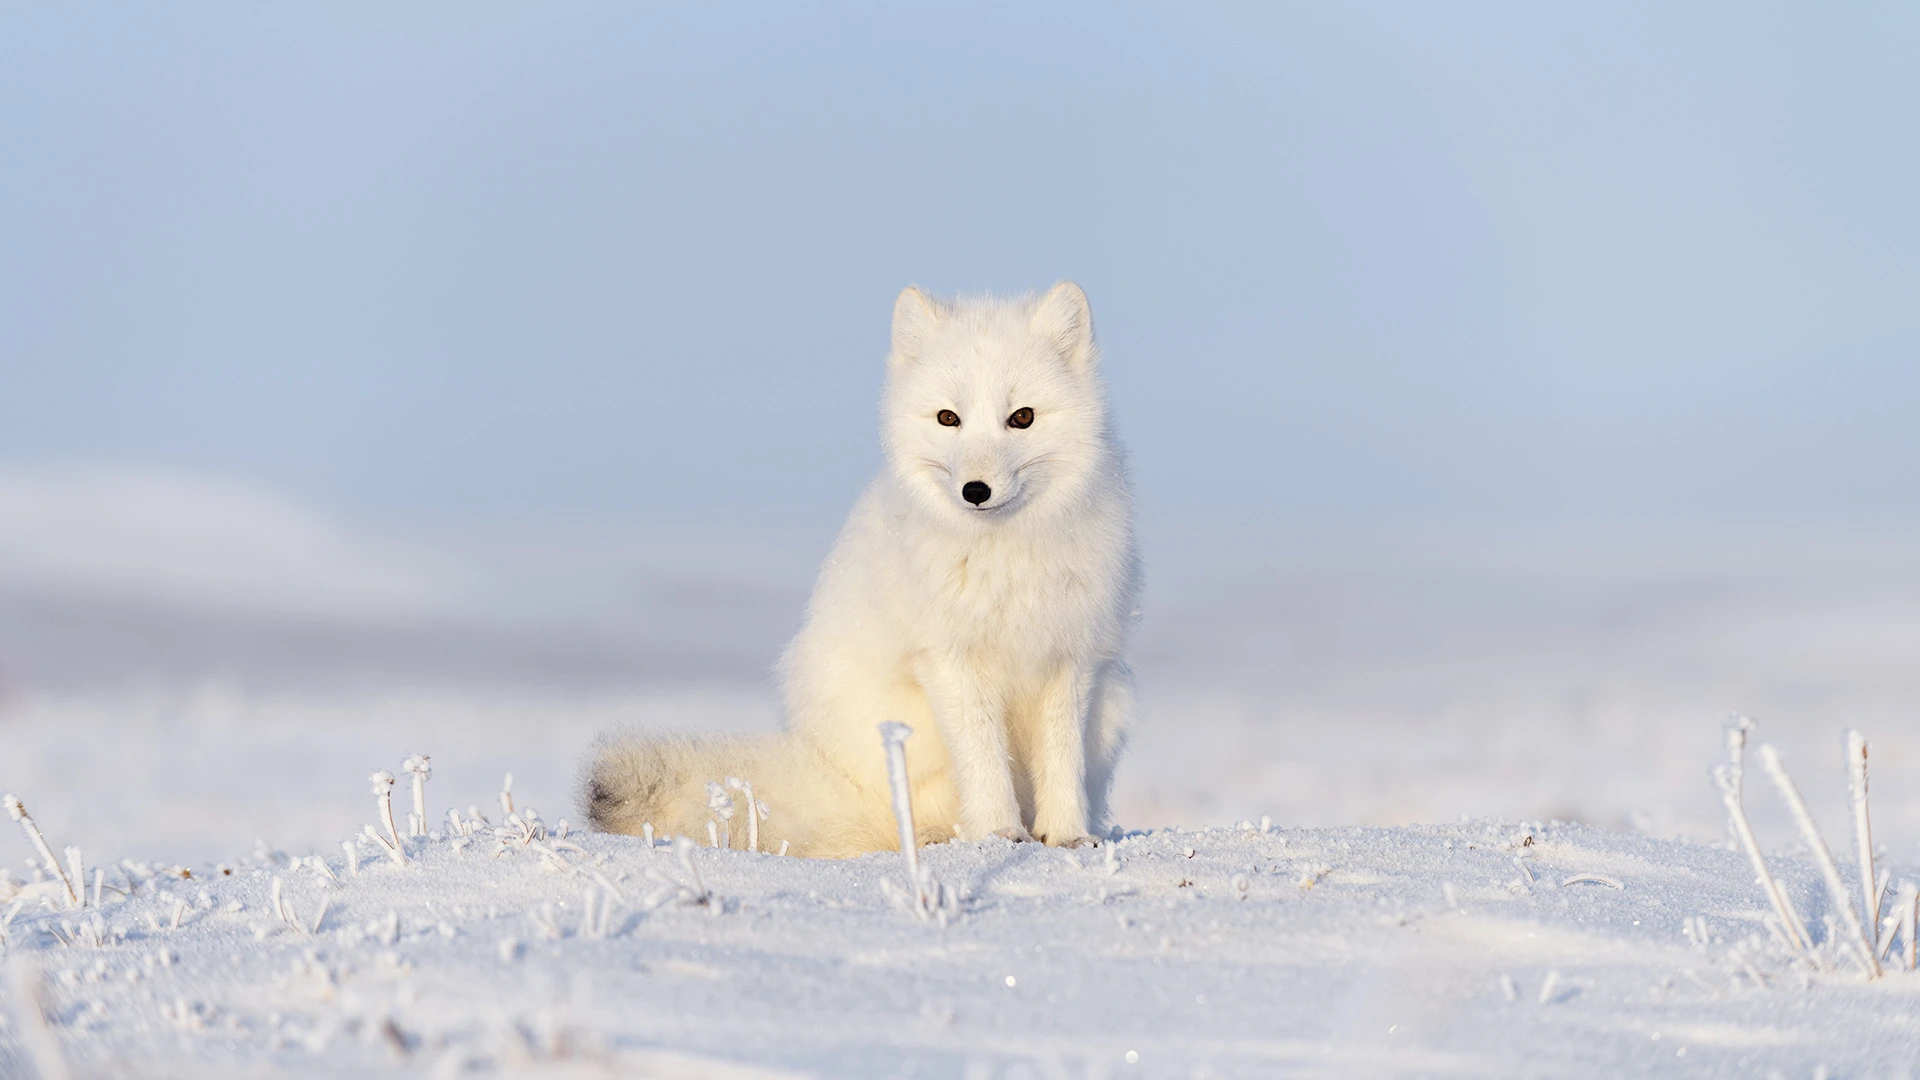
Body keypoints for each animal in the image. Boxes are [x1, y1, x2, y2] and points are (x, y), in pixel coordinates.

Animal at [582, 282, 1138, 857]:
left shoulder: (1070, 658)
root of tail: (835, 781)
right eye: (948, 418)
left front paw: (1068, 836)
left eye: (1022, 417)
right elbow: (984, 761)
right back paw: (935, 837)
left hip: (1116, 702)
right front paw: (999, 835)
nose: (975, 491)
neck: (1004, 560)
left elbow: (1063, 760)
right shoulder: (950, 660)